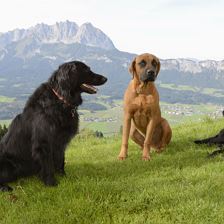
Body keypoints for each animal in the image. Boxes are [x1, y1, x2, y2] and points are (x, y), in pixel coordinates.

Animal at [0, 60, 107, 191]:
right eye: (86, 70)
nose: (106, 78)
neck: (60, 99)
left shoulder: (60, 142)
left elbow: (60, 160)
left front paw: (64, 177)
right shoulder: (44, 143)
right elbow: (48, 165)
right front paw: (51, 183)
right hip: (9, 165)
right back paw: (5, 187)